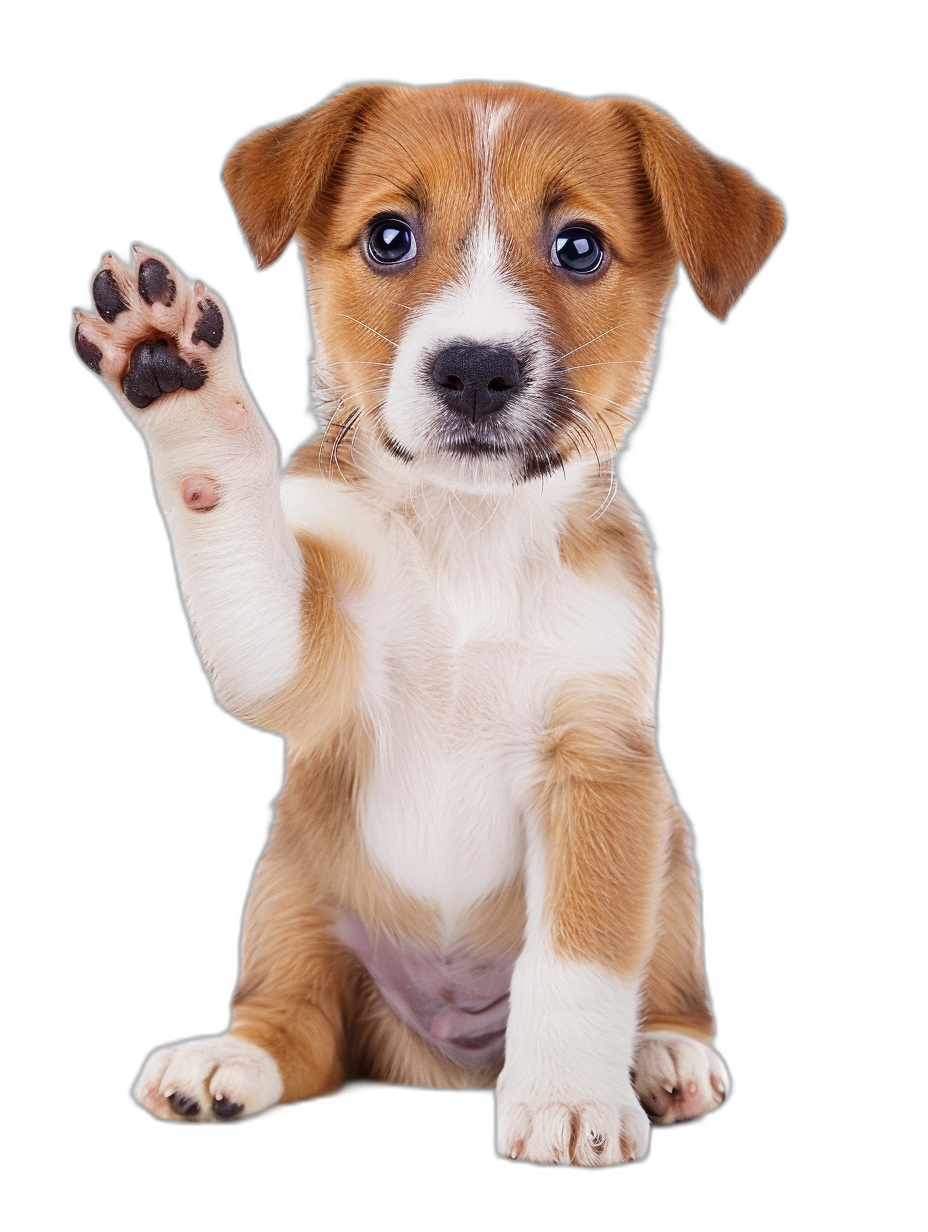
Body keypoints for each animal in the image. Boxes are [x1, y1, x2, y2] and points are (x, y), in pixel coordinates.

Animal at [70, 81, 783, 1167]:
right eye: (390, 237)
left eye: (578, 247)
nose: (475, 368)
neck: (467, 539)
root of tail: (444, 1052)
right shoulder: (298, 656)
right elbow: (233, 529)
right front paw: (178, 377)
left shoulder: (599, 765)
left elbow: (576, 963)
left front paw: (568, 1098)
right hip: (291, 896)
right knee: (298, 1026)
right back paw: (229, 1061)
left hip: (668, 861)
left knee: (662, 985)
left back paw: (663, 1056)